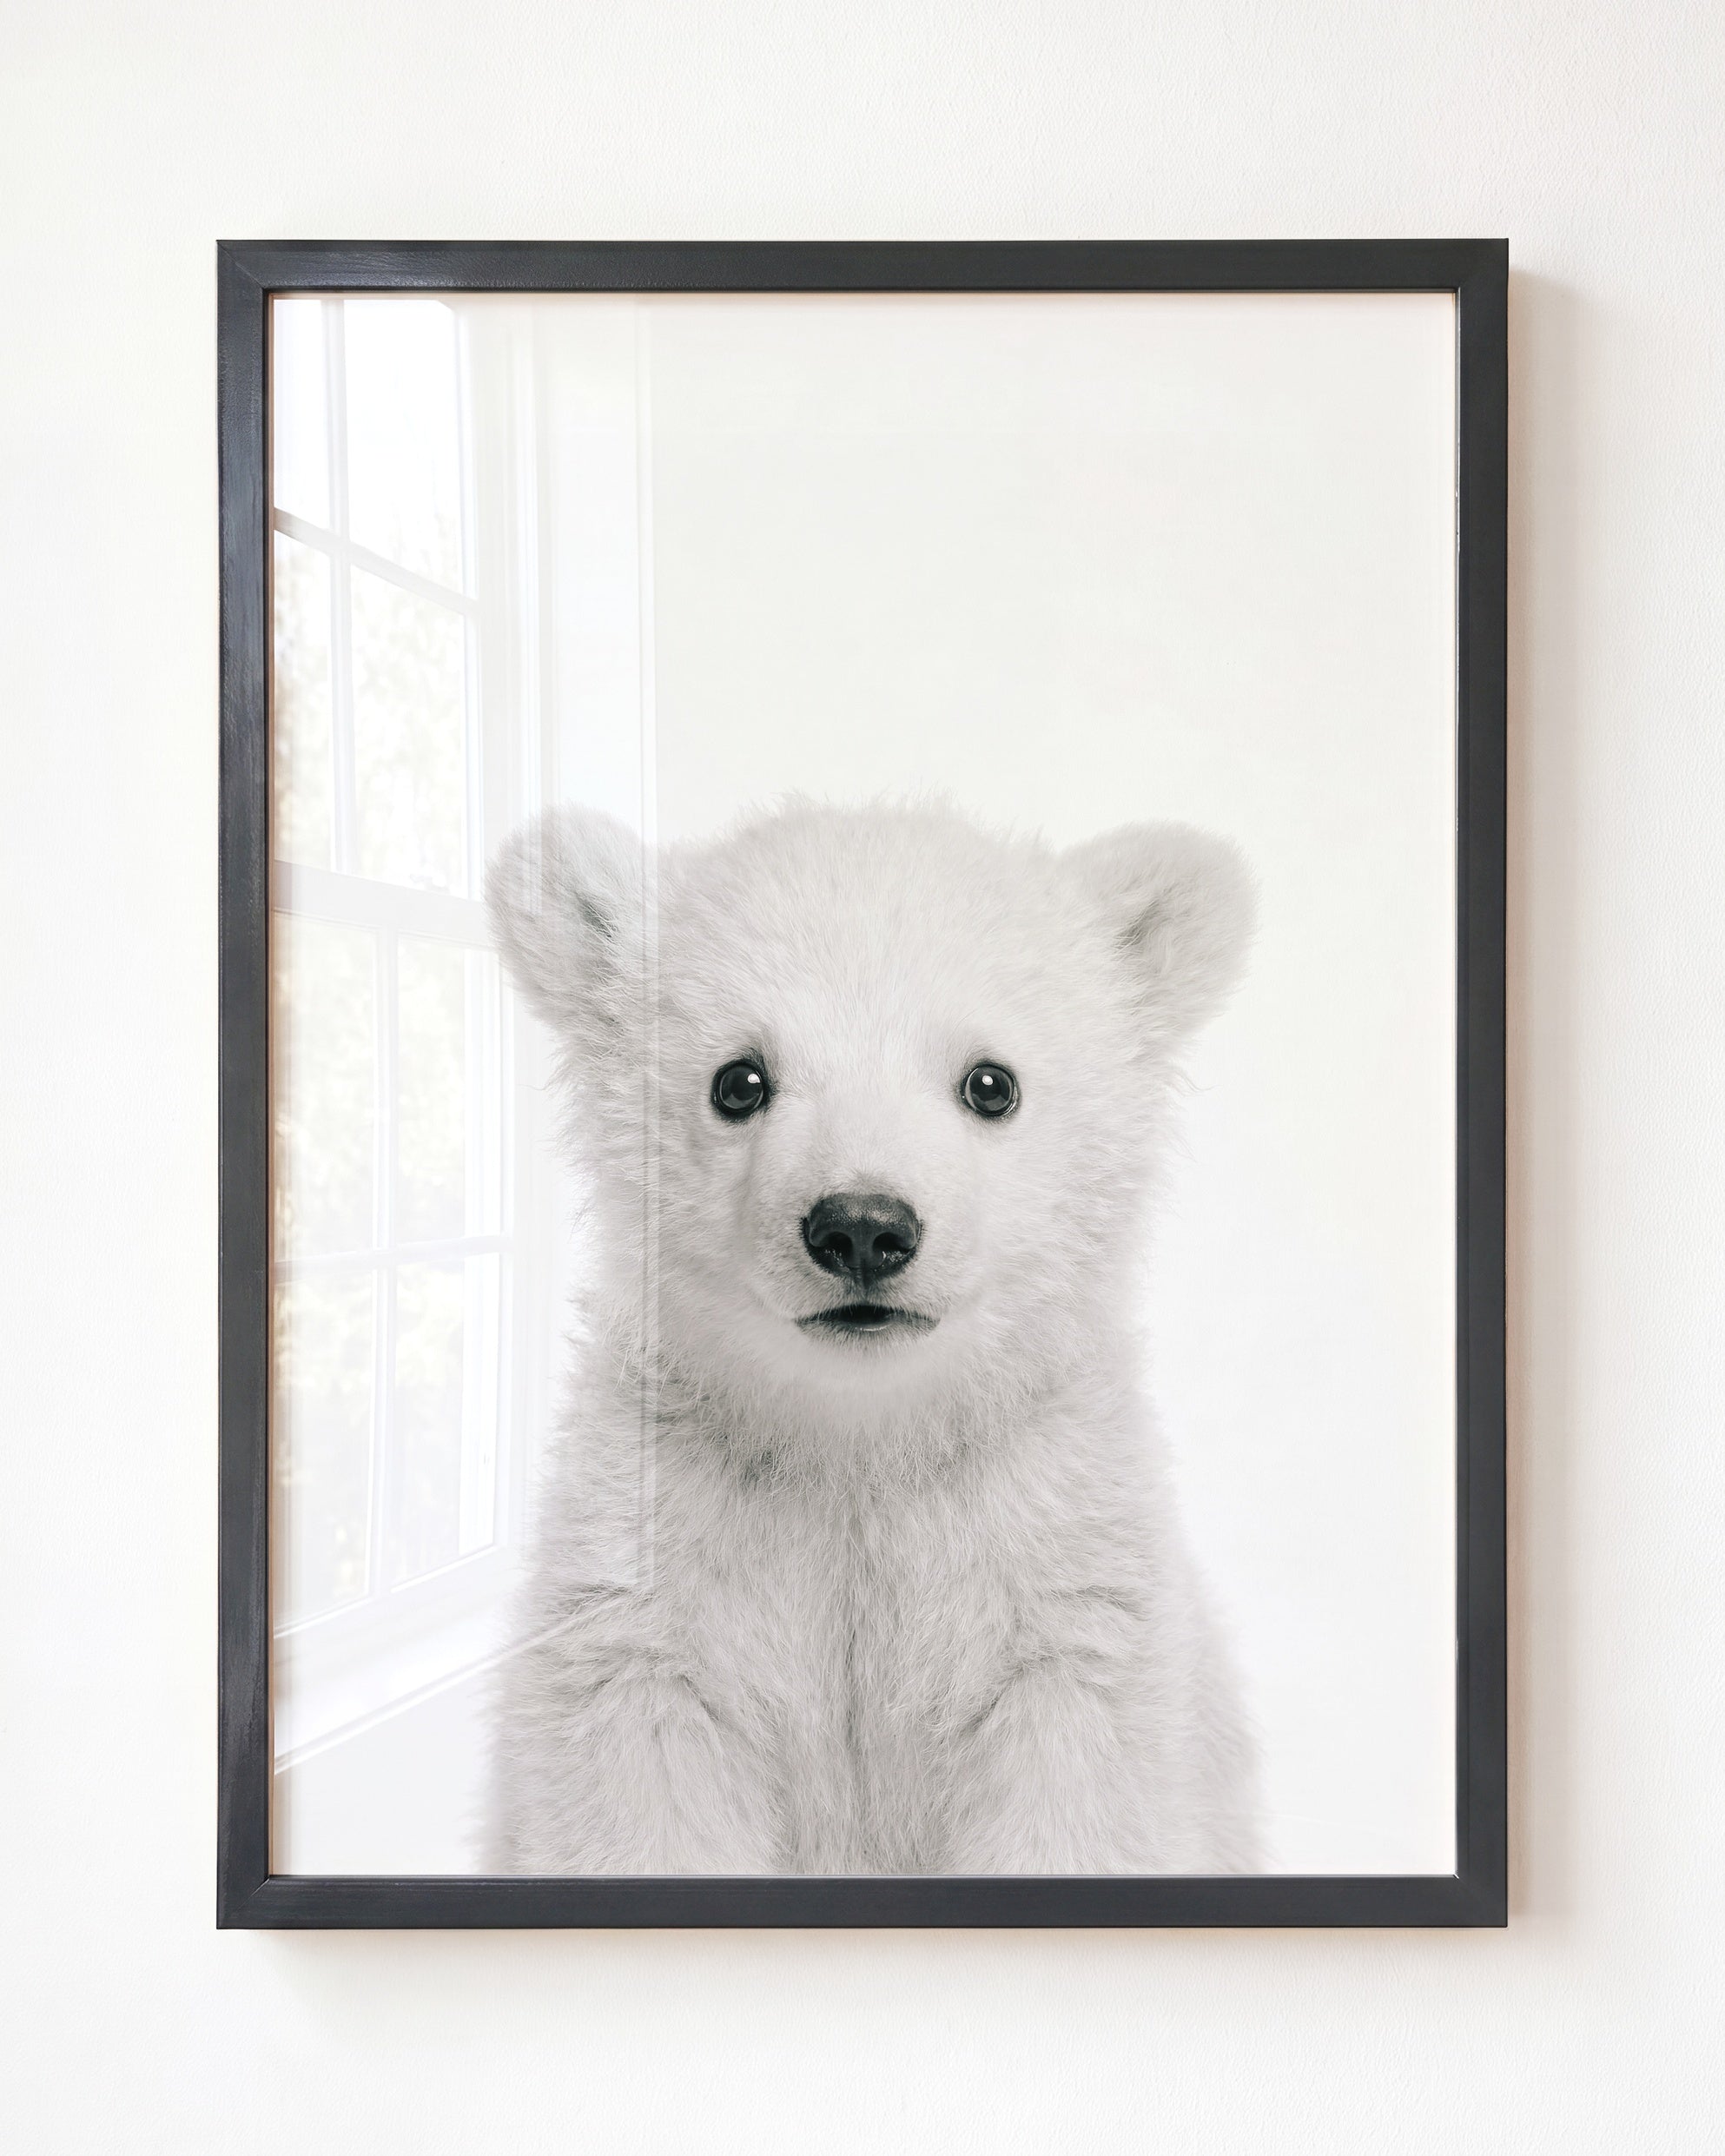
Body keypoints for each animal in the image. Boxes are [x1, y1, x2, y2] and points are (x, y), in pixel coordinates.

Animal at [484, 797, 1260, 1875]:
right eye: (738, 1079)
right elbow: (641, 1789)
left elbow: (1080, 1800)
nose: (861, 1226)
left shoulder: (1059, 1585)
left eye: (990, 1082)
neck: (860, 1444)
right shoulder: (653, 1577)